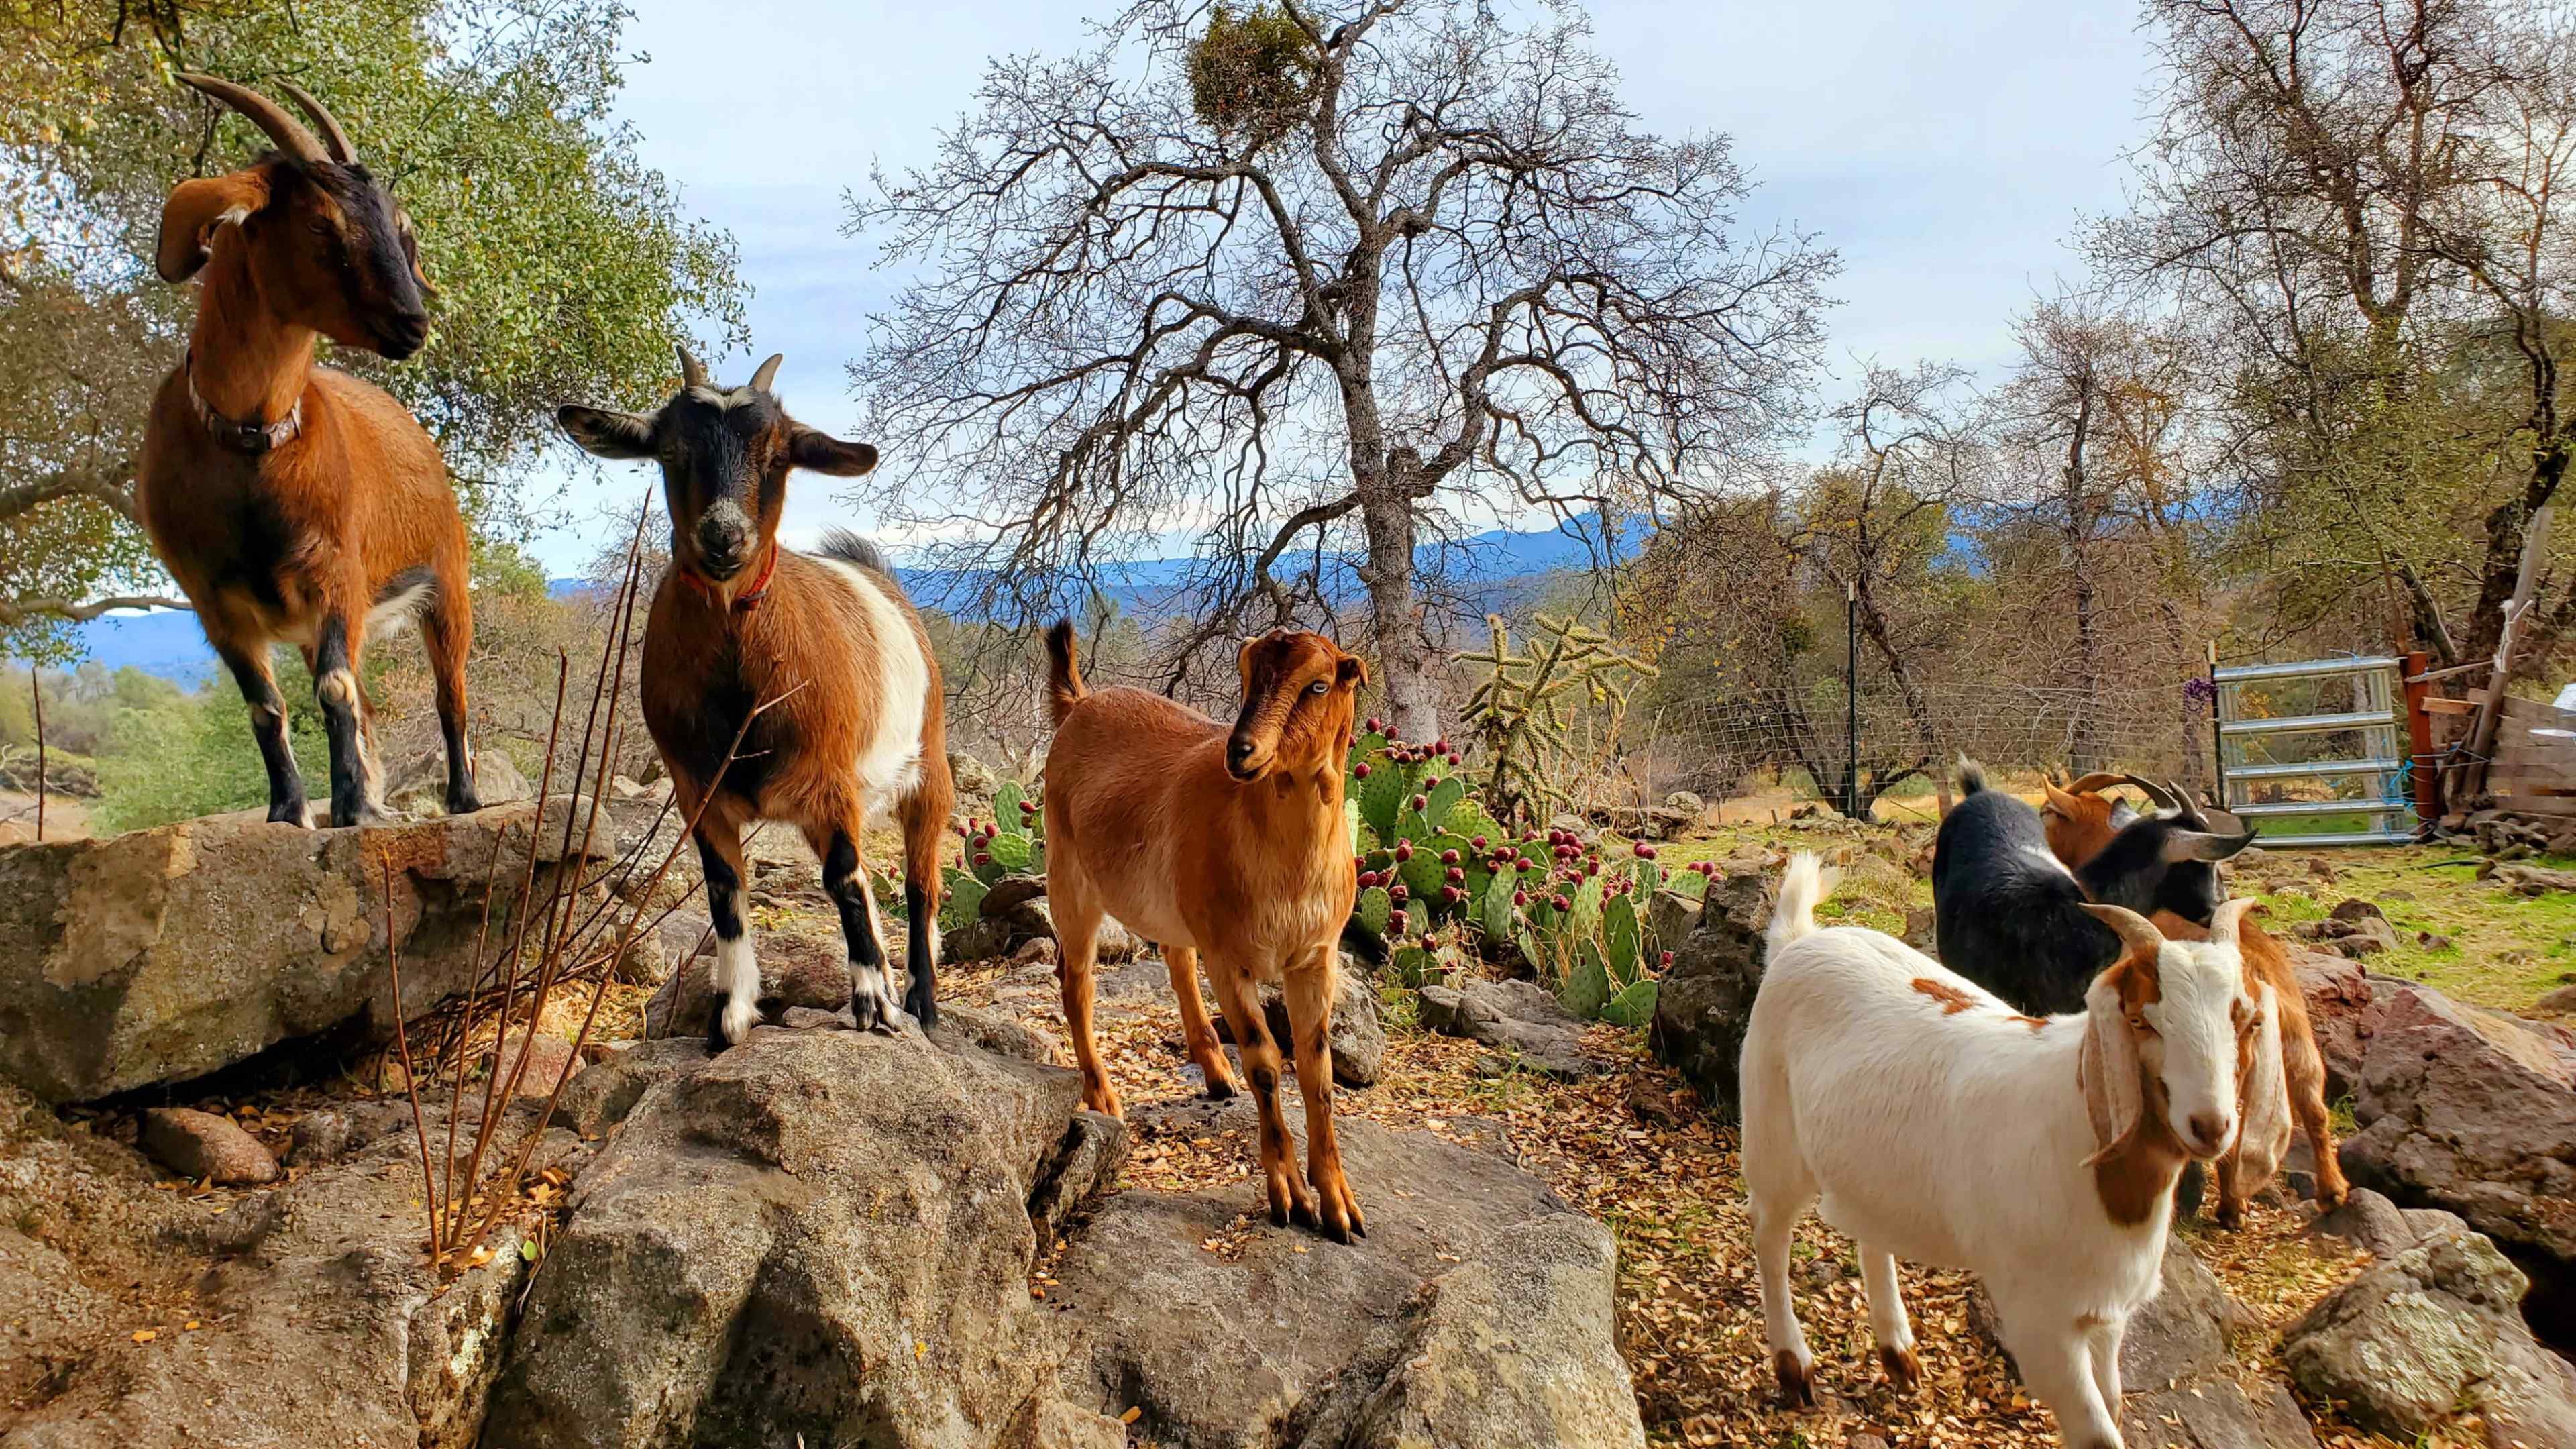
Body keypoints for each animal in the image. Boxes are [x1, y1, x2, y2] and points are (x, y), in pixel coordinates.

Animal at [140, 73, 479, 827]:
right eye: (321, 223)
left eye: (400, 227)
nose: (413, 324)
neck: (250, 444)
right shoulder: (213, 604)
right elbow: (266, 709)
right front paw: (289, 810)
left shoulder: (337, 575)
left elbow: (335, 690)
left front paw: (353, 808)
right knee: (373, 704)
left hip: (447, 581)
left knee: (451, 693)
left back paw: (464, 798)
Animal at [557, 351, 952, 1046]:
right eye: (671, 450)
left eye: (779, 454)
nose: (724, 536)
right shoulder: (698, 793)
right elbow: (725, 891)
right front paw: (731, 1015)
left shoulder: (831, 782)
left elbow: (845, 880)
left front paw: (872, 1005)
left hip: (928, 772)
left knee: (919, 887)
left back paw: (921, 1004)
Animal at [1042, 621, 1369, 1241]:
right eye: (1246, 672)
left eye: (1318, 685)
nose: (1240, 751)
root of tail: (1079, 704)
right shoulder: (1228, 958)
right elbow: (1265, 1062)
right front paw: (1290, 1195)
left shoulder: (1316, 957)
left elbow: (1317, 1070)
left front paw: (1341, 1204)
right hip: (1069, 880)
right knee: (1077, 985)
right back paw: (1103, 1095)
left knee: (1173, 958)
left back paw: (1215, 1071)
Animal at [1745, 854, 2287, 1449]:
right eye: (2142, 1020)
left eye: (2250, 1020)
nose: (2211, 1126)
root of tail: (1799, 942)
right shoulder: (2040, 1321)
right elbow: (2098, 1430)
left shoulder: (2106, 1312)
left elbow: (2115, 1401)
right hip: (1772, 1135)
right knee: (1771, 1238)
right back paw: (1794, 1366)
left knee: (1870, 1232)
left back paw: (1898, 1352)